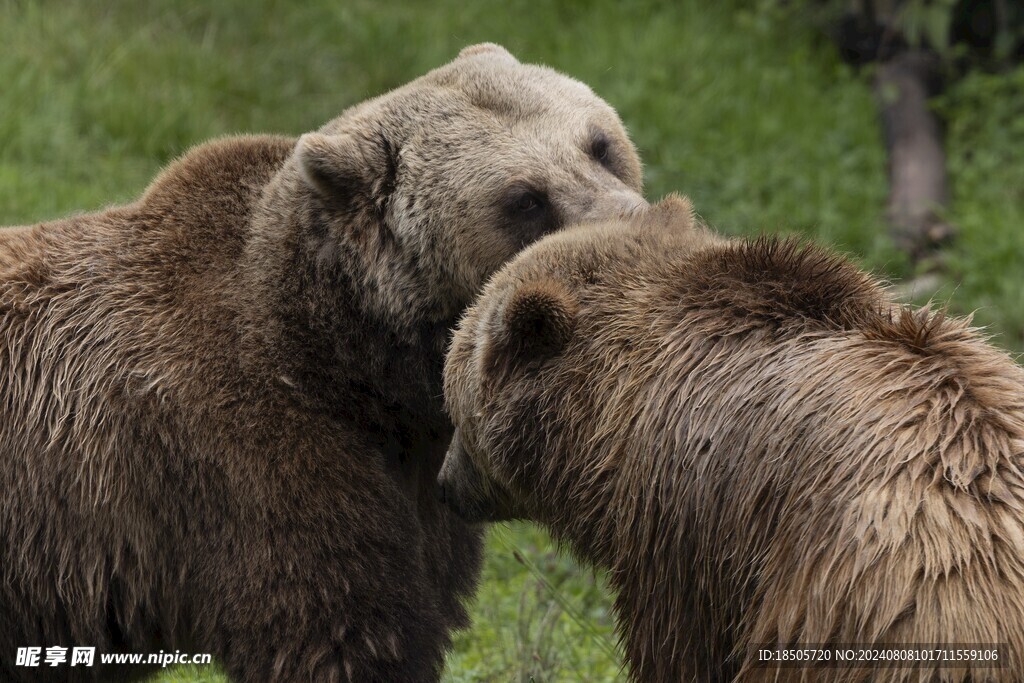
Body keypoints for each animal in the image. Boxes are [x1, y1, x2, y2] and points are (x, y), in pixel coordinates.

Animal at [0, 44, 638, 683]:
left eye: (600, 144)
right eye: (525, 199)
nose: (630, 220)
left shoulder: (418, 487)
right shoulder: (250, 461)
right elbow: (342, 628)